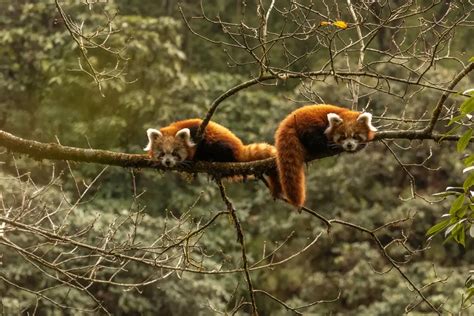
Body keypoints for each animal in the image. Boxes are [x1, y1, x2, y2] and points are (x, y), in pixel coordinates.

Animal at [144, 118, 282, 194]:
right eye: (162, 154)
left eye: (174, 153)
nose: (168, 162)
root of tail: (239, 147)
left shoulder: (198, 132)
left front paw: (193, 160)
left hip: (221, 144)